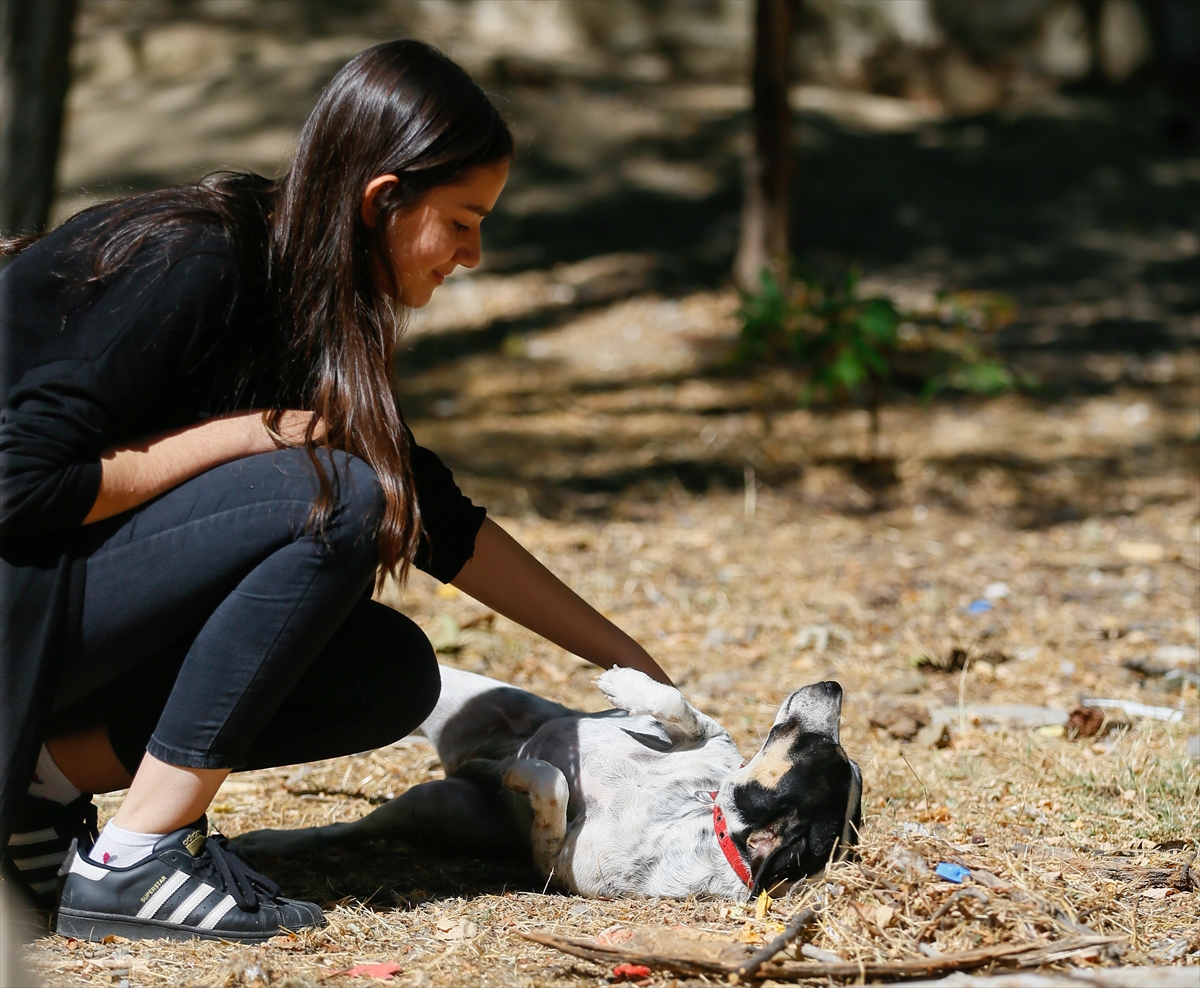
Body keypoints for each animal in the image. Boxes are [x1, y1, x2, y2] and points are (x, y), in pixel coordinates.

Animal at [236, 667, 864, 897]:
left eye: (823, 748)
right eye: (838, 752)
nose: (835, 685)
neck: (699, 814)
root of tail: (457, 761)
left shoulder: (551, 864)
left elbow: (553, 789)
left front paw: (526, 770)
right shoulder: (704, 737)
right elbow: (676, 704)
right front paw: (625, 682)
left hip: (429, 799)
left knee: (342, 831)